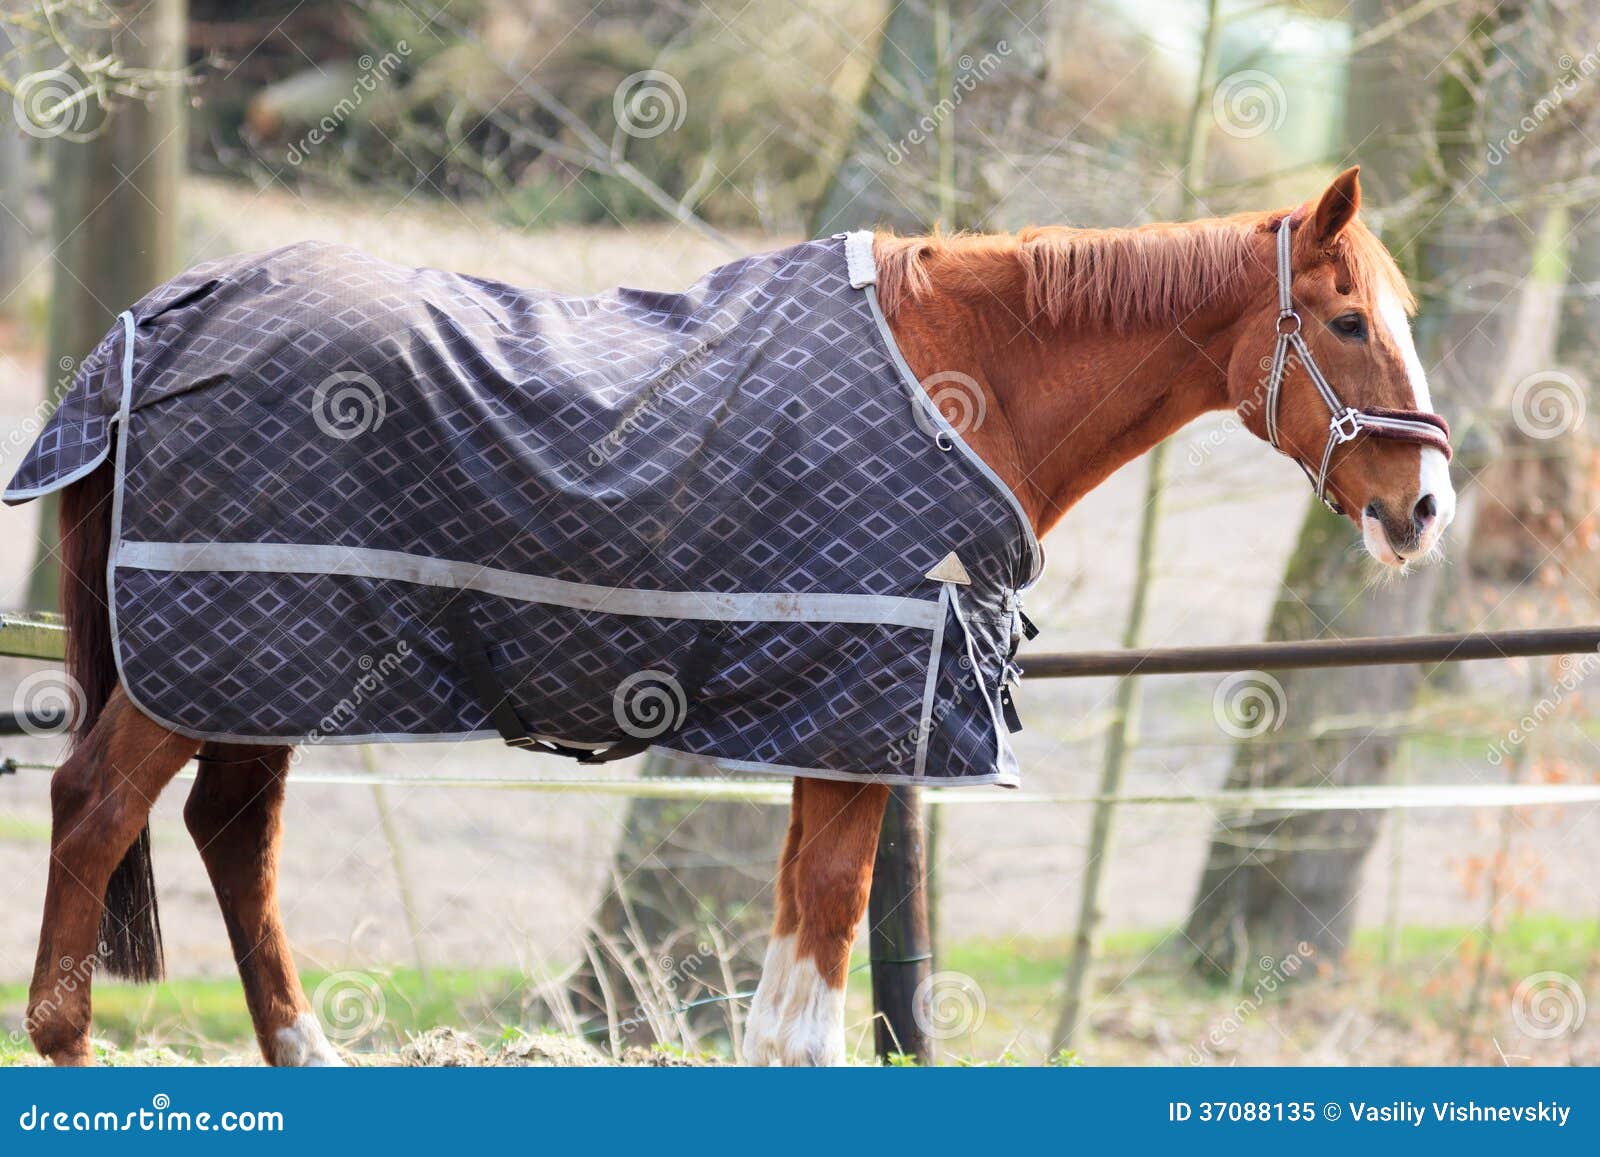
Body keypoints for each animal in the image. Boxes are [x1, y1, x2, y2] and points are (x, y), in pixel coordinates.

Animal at [20, 167, 1453, 1066]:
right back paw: (68, 1042)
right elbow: (814, 1005)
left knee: (230, 832)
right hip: (212, 655)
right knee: (95, 806)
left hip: (261, 666)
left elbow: (779, 1007)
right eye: (1344, 320)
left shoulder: (830, 730)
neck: (959, 380)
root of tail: (165, 316)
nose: (1426, 505)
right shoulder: (865, 718)